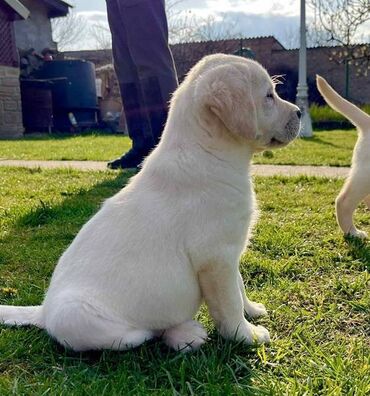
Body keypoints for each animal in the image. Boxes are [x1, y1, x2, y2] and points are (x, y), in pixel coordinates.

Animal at [0, 54, 300, 352]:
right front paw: (246, 335)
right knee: (143, 333)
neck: (207, 153)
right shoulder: (216, 257)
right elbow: (229, 304)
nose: (299, 112)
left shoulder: (229, 252)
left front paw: (252, 310)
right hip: (80, 316)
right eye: (269, 96)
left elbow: (239, 286)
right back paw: (181, 333)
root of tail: (43, 312)